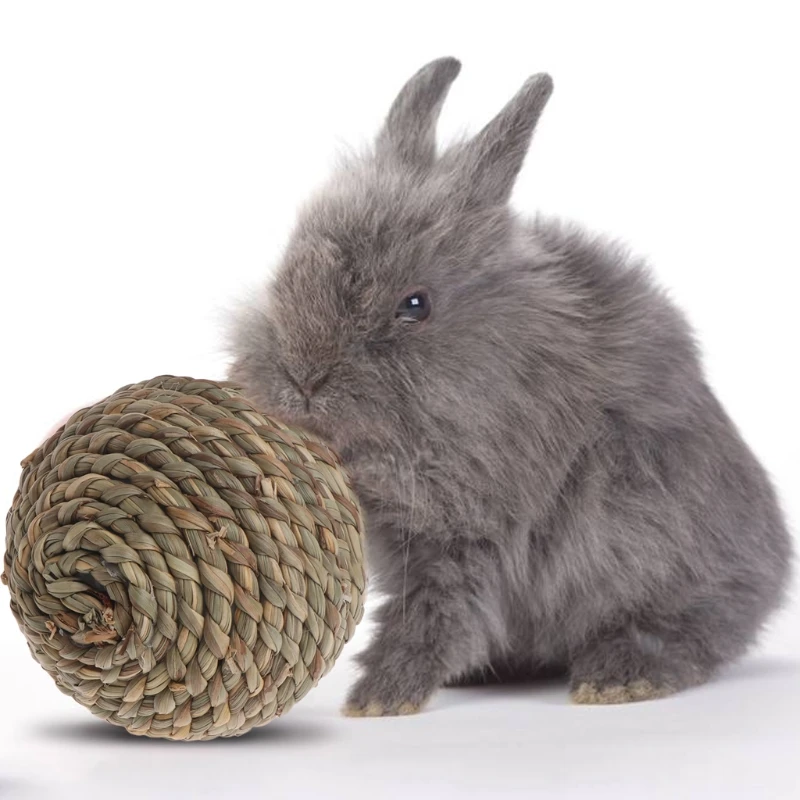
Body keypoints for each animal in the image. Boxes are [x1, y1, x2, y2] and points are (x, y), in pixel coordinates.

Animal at [226, 56, 793, 715]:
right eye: (287, 271)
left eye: (415, 305)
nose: (303, 378)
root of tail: (776, 564)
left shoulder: (465, 533)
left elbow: (435, 616)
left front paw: (377, 699)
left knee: (693, 627)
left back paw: (619, 677)